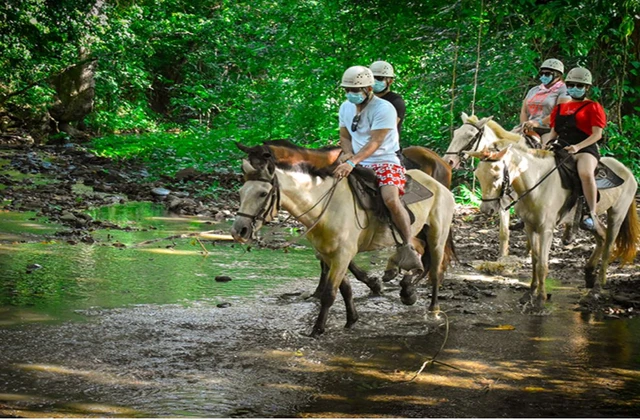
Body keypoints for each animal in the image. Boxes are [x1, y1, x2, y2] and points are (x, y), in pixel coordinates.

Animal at [468, 143, 636, 310]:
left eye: (496, 177)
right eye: (478, 175)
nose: (486, 210)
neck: (538, 187)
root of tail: (627, 170)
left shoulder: (546, 230)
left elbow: (542, 265)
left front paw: (540, 299)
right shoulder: (530, 228)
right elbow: (535, 261)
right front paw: (530, 293)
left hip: (617, 214)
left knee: (608, 247)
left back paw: (596, 289)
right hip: (590, 221)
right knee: (601, 235)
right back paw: (589, 274)